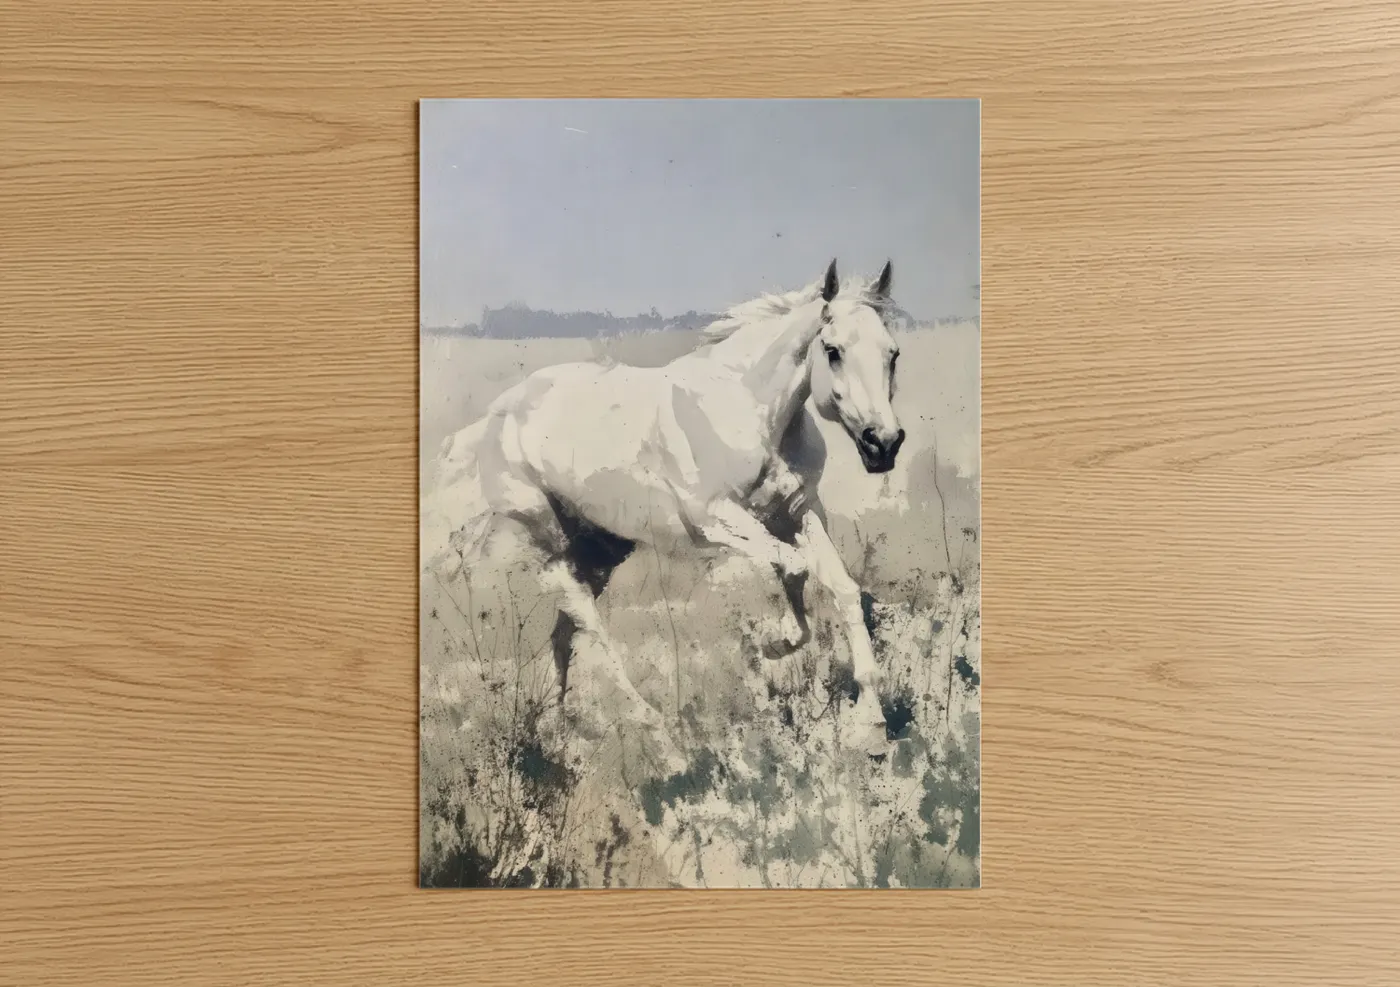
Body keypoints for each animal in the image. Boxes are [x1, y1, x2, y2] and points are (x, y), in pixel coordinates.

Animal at [423, 259, 907, 763]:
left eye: (892, 353)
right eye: (832, 351)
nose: (883, 445)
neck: (749, 412)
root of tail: (495, 417)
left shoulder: (799, 512)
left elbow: (841, 588)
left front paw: (870, 727)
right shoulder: (715, 521)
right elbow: (793, 568)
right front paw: (769, 645)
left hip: (601, 551)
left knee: (564, 633)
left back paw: (560, 735)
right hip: (552, 545)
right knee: (589, 625)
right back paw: (657, 732)